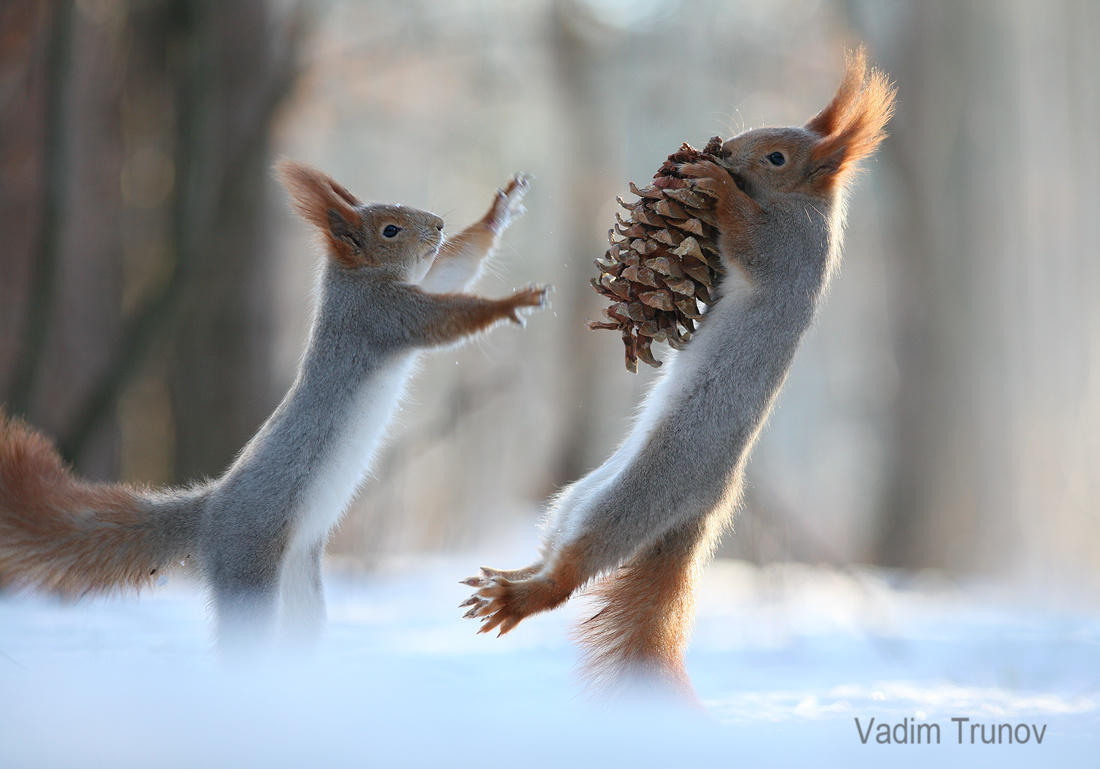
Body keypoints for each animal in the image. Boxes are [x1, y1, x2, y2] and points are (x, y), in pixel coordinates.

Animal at [0, 160, 550, 651]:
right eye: (390, 230)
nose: (437, 225)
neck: (354, 281)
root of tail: (209, 516)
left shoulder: (414, 287)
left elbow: (454, 267)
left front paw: (499, 211)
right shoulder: (383, 316)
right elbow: (448, 317)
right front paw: (510, 303)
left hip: (301, 591)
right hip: (249, 569)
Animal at [459, 49, 897, 699]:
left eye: (776, 157)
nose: (724, 151)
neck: (805, 204)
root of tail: (707, 507)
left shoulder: (786, 247)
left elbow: (747, 235)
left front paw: (714, 187)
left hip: (637, 494)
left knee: (572, 573)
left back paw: (519, 598)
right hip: (580, 494)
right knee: (557, 552)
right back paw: (511, 579)